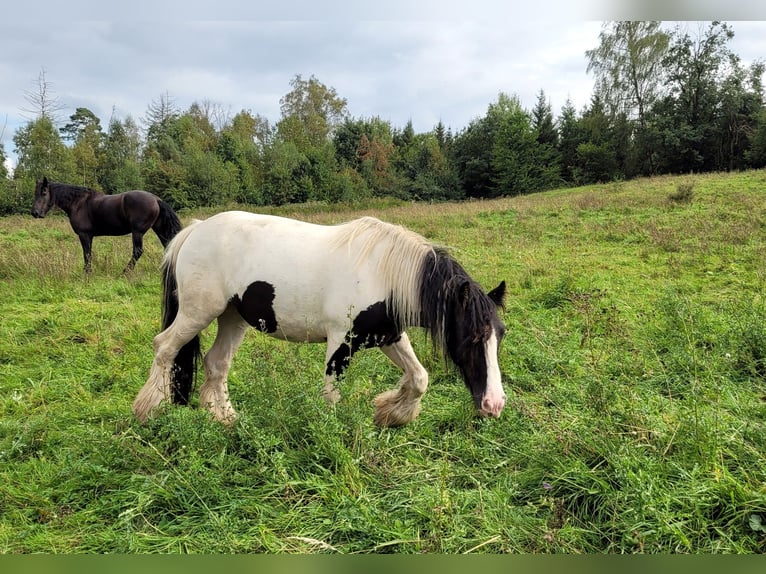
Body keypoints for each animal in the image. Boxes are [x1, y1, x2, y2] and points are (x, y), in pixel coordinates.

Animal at [32, 176, 185, 274]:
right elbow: (89, 254)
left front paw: (87, 273)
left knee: (137, 251)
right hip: (159, 229)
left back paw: (125, 272)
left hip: (138, 232)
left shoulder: (84, 235)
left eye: (44, 192)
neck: (78, 203)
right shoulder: (89, 236)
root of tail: (155, 199)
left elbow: (87, 254)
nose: (35, 213)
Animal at [134, 212, 510, 428]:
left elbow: (419, 378)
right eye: (474, 337)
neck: (383, 272)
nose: (494, 405)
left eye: (499, 336)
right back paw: (148, 410)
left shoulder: (387, 336)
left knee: (216, 363)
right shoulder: (340, 343)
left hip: (231, 317)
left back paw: (224, 418)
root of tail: (194, 232)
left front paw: (390, 413)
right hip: (198, 312)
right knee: (164, 347)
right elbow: (331, 396)